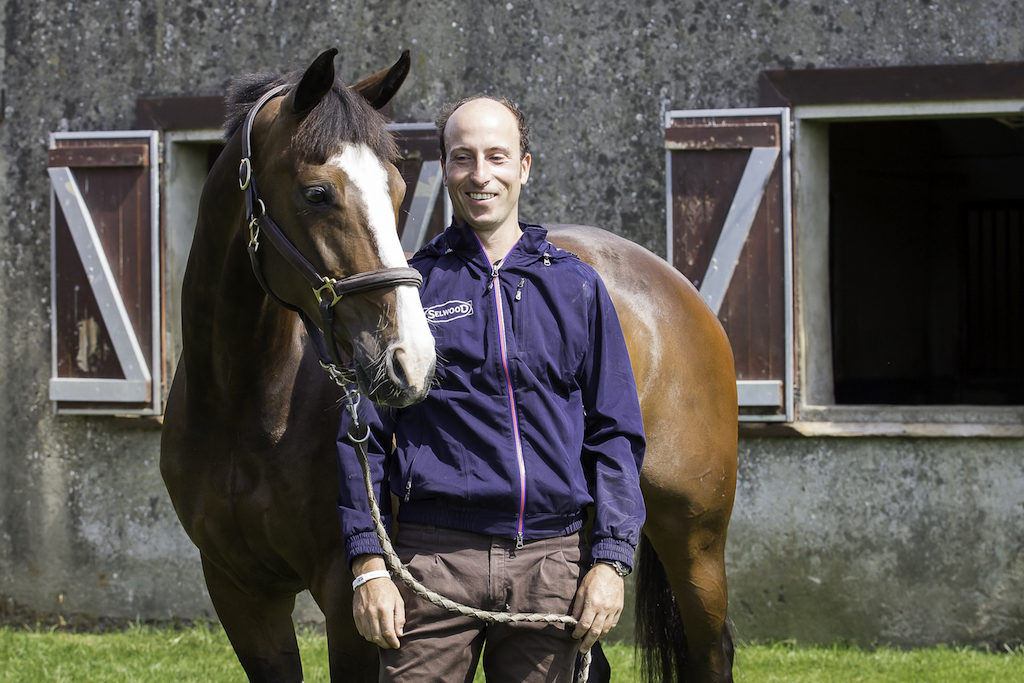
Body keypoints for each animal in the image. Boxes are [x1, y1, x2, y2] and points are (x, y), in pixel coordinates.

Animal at [159, 49, 737, 683]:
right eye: (316, 193)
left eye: (396, 190)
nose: (410, 360)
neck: (245, 404)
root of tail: (677, 288)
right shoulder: (240, 595)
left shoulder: (350, 600)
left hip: (694, 542)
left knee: (712, 650)